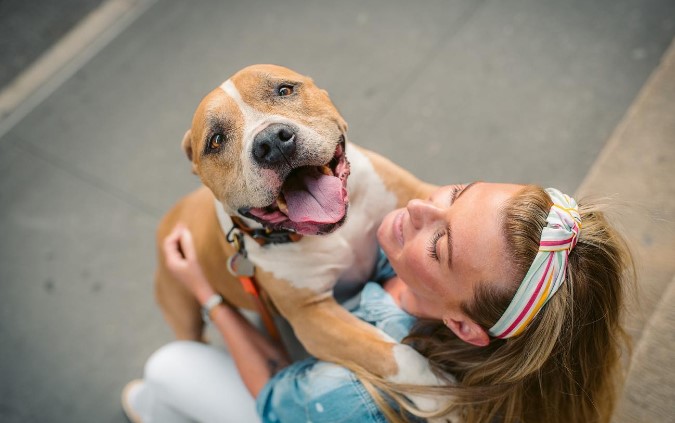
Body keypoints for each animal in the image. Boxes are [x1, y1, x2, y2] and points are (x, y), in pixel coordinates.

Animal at [156, 63, 446, 400]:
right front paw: (438, 394)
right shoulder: (311, 316)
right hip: (183, 315)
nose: (272, 142)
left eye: (284, 90)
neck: (335, 230)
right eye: (216, 140)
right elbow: (393, 355)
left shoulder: (420, 195)